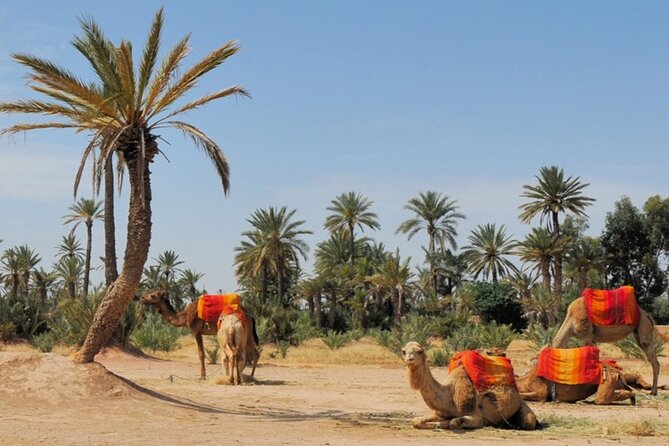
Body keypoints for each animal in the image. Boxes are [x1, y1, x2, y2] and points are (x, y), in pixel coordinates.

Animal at [402, 342, 537, 430]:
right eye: (404, 351)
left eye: (419, 351)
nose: (409, 359)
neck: (449, 393)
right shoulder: (441, 412)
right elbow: (415, 421)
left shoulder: (476, 416)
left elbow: (453, 422)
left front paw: (442, 424)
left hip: (522, 405)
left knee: (529, 422)